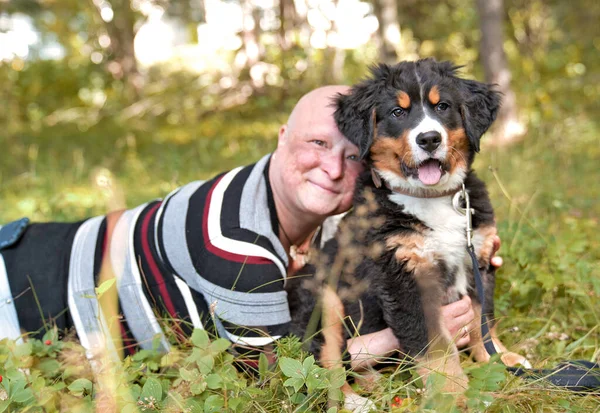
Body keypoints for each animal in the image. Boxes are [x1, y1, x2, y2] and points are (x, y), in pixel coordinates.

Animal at [288, 58, 528, 406]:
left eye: (442, 106)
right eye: (398, 112)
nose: (429, 139)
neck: (432, 198)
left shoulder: (479, 259)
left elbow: (483, 319)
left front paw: (500, 359)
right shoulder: (404, 274)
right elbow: (435, 345)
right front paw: (451, 395)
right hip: (324, 299)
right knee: (326, 364)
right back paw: (355, 401)